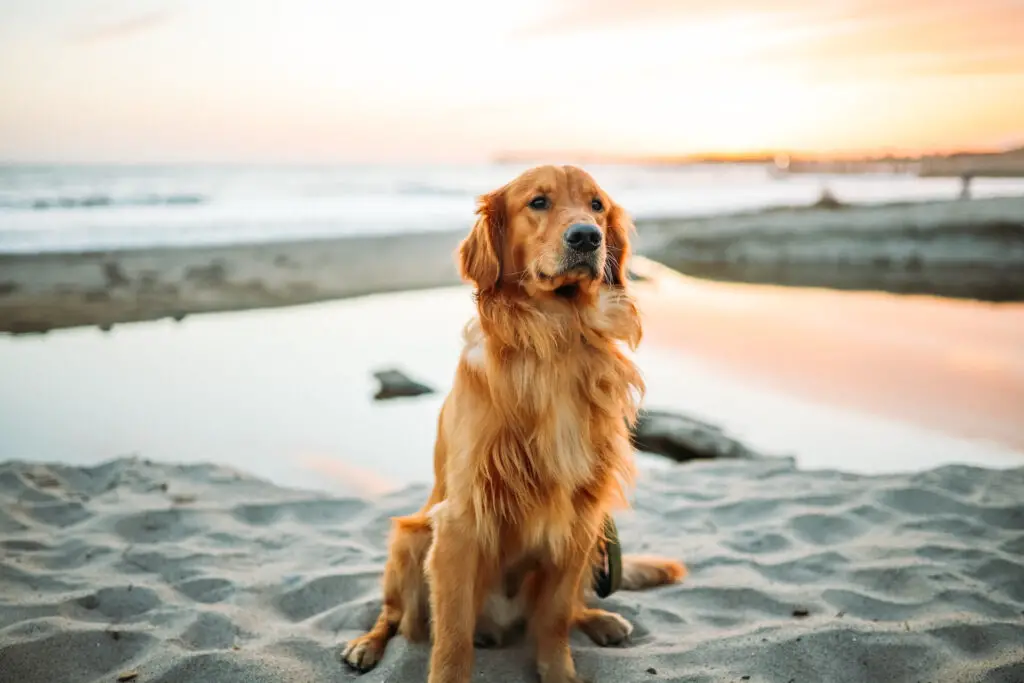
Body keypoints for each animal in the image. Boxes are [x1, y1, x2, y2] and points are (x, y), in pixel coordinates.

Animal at [339, 166, 684, 683]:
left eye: (597, 205)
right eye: (538, 202)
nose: (587, 236)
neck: (557, 336)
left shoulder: (581, 515)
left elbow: (555, 618)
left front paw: (560, 672)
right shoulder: (460, 521)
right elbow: (452, 639)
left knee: (568, 608)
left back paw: (600, 620)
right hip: (410, 539)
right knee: (393, 615)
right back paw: (367, 645)